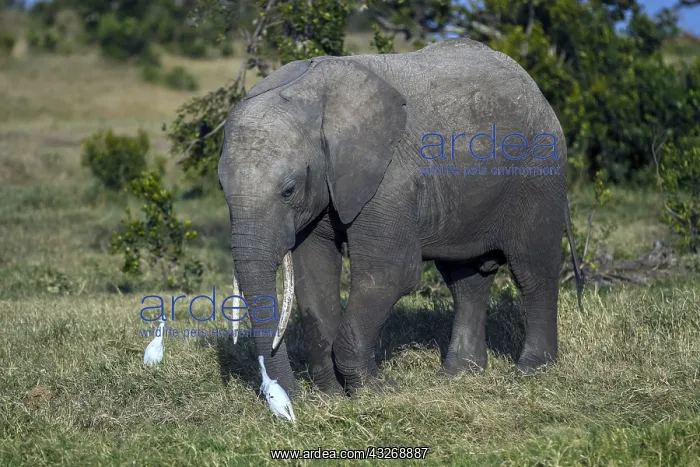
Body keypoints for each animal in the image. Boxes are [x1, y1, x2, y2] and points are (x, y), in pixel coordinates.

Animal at [217, 38, 584, 396]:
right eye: (222, 189)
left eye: (289, 190)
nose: (290, 396)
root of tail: (536, 89)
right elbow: (314, 276)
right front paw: (333, 395)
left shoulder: (388, 179)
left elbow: (390, 274)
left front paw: (376, 391)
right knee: (465, 280)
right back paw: (457, 376)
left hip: (538, 175)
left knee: (533, 269)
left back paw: (532, 370)